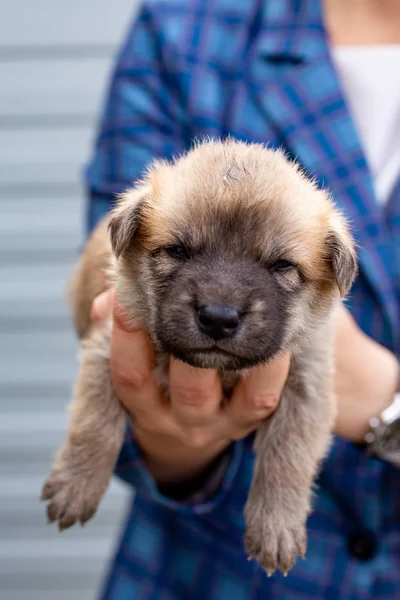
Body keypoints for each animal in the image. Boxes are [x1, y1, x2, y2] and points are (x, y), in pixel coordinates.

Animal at [43, 138, 356, 576]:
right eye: (177, 250)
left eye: (282, 265)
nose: (218, 318)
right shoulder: (106, 351)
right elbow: (94, 423)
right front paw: (77, 484)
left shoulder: (307, 385)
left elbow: (288, 456)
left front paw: (276, 526)